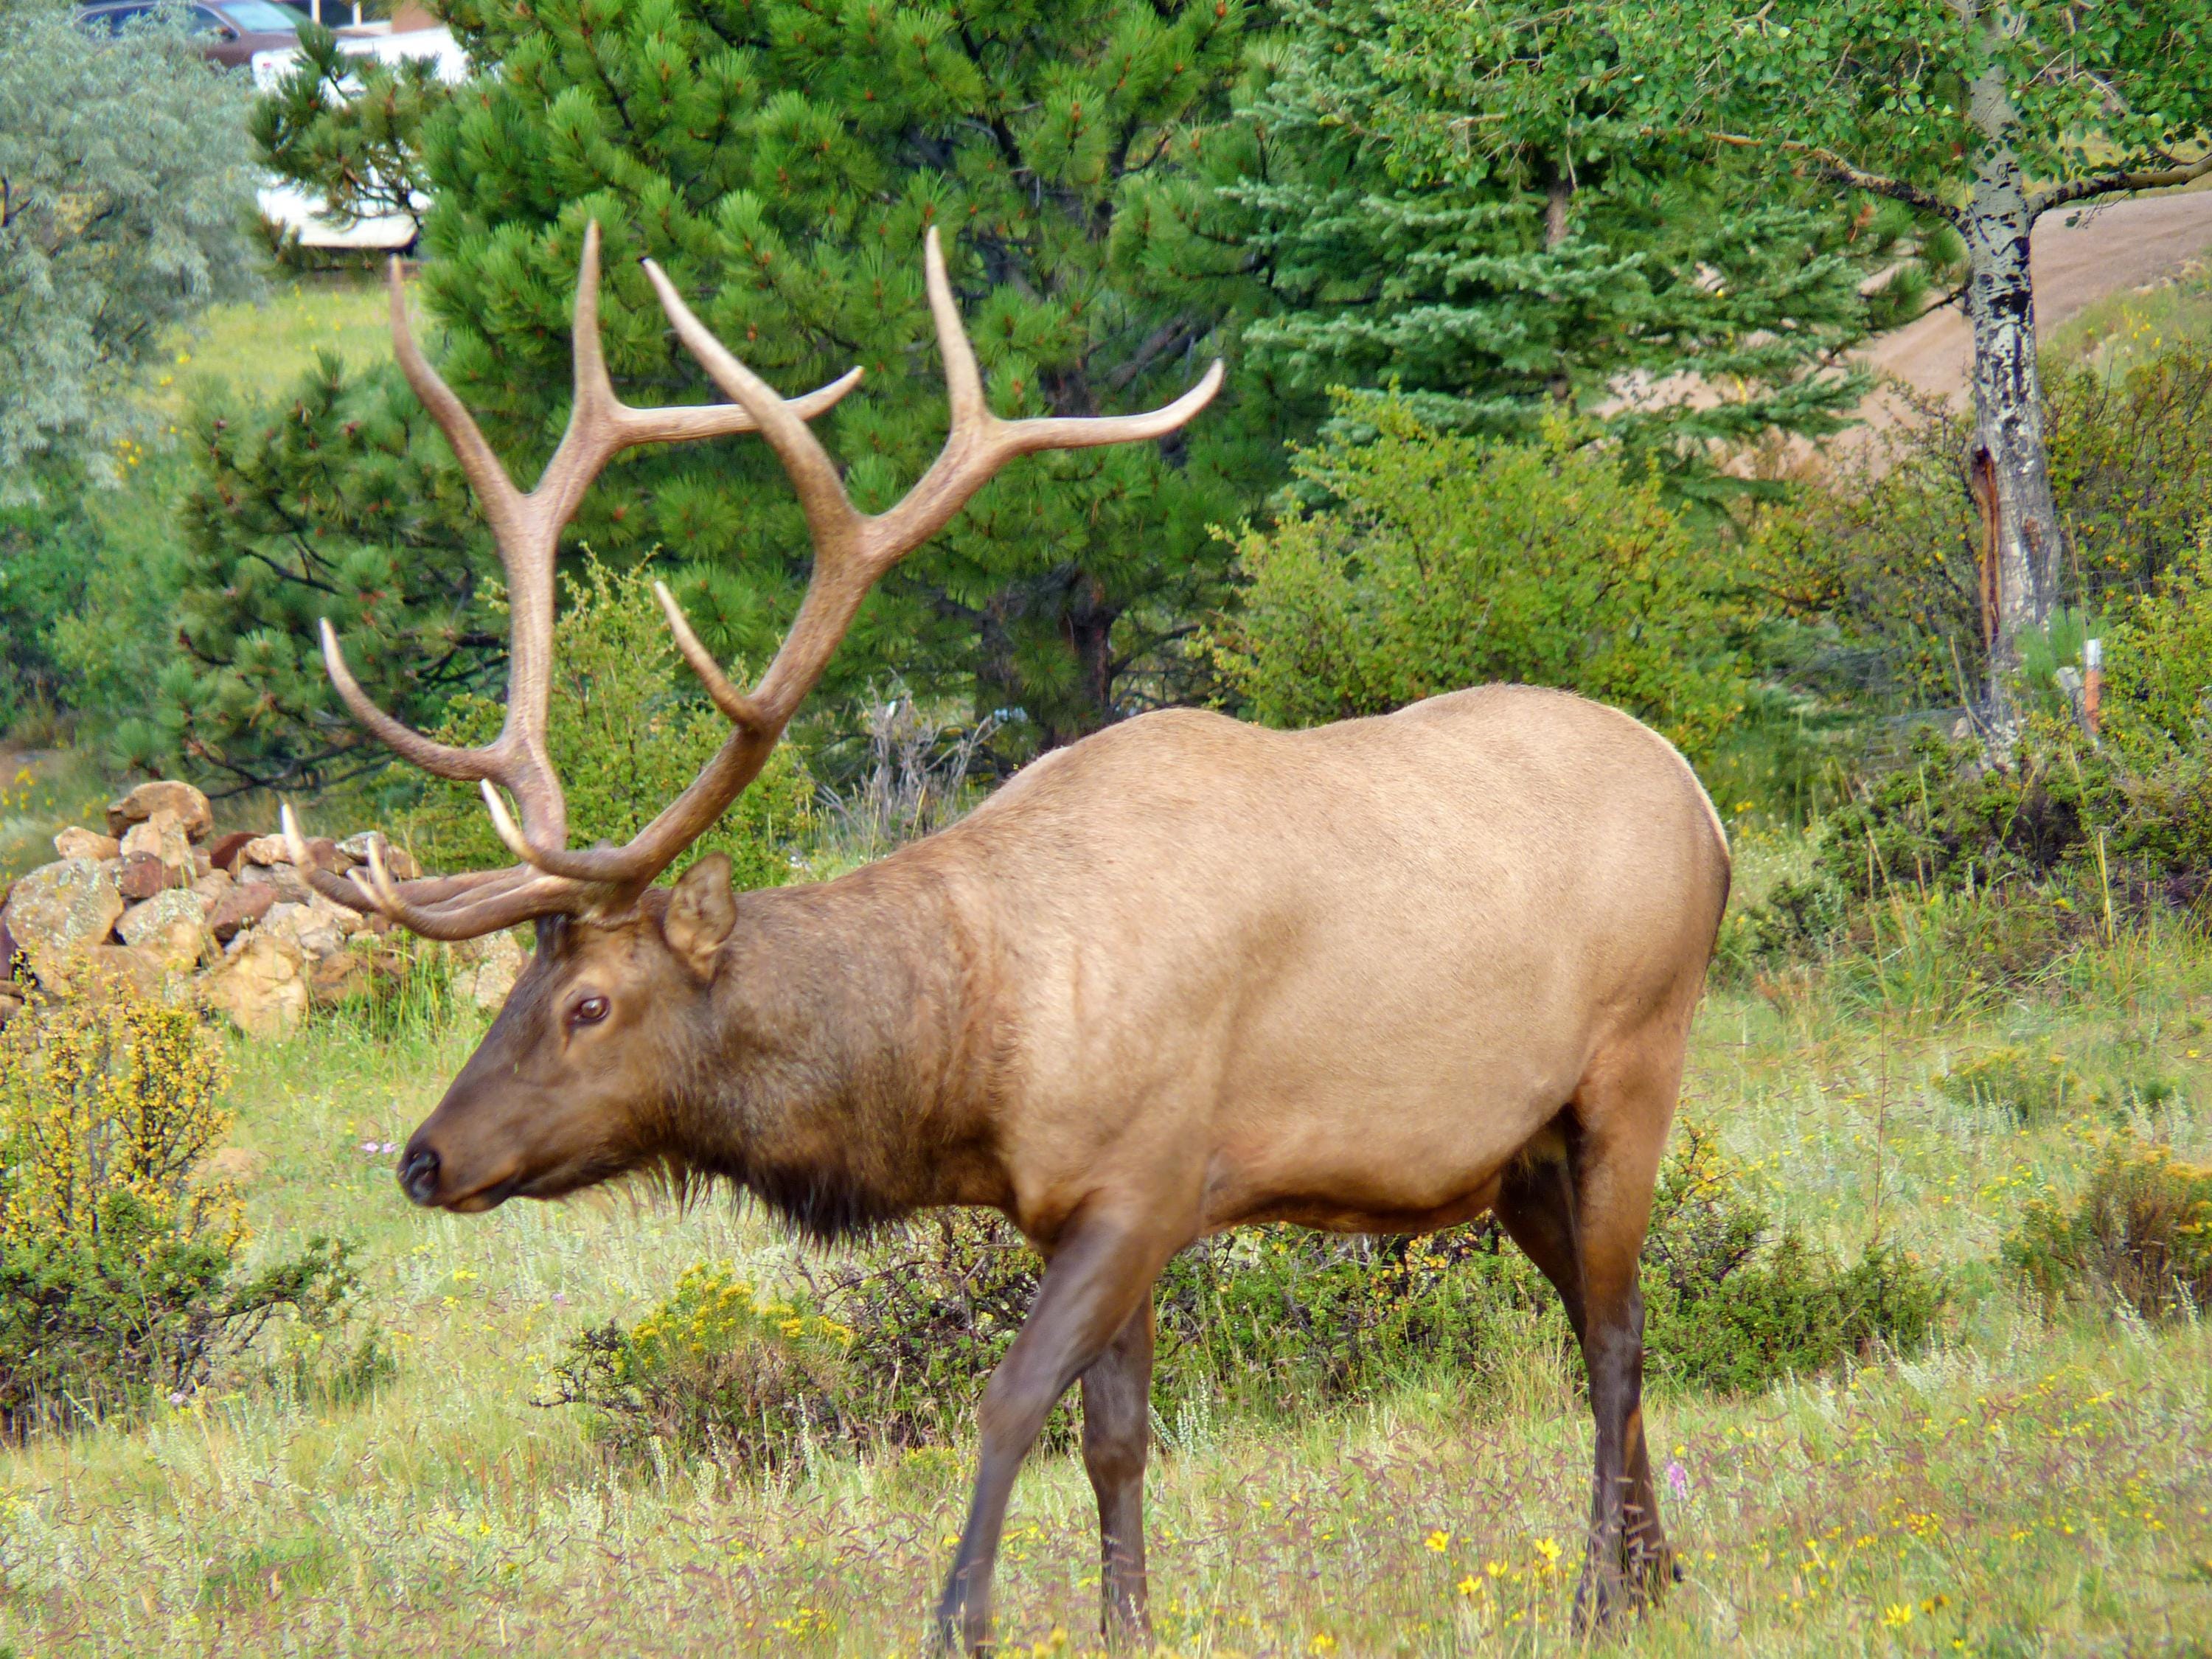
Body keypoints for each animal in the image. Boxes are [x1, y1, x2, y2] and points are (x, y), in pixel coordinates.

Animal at [283, 220, 1731, 1653]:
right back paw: (1659, 1569)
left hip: (1635, 1064)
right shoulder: (1074, 1210)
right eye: (511, 993)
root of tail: (1702, 801)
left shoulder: (1148, 1180)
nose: (424, 1158)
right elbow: (1118, 1437)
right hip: (1517, 1150)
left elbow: (1010, 1402)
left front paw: (961, 1620)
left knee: (1616, 1331)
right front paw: (1127, 1623)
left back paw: (1604, 1591)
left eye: (589, 1003)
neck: (983, 1045)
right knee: (1605, 1310)